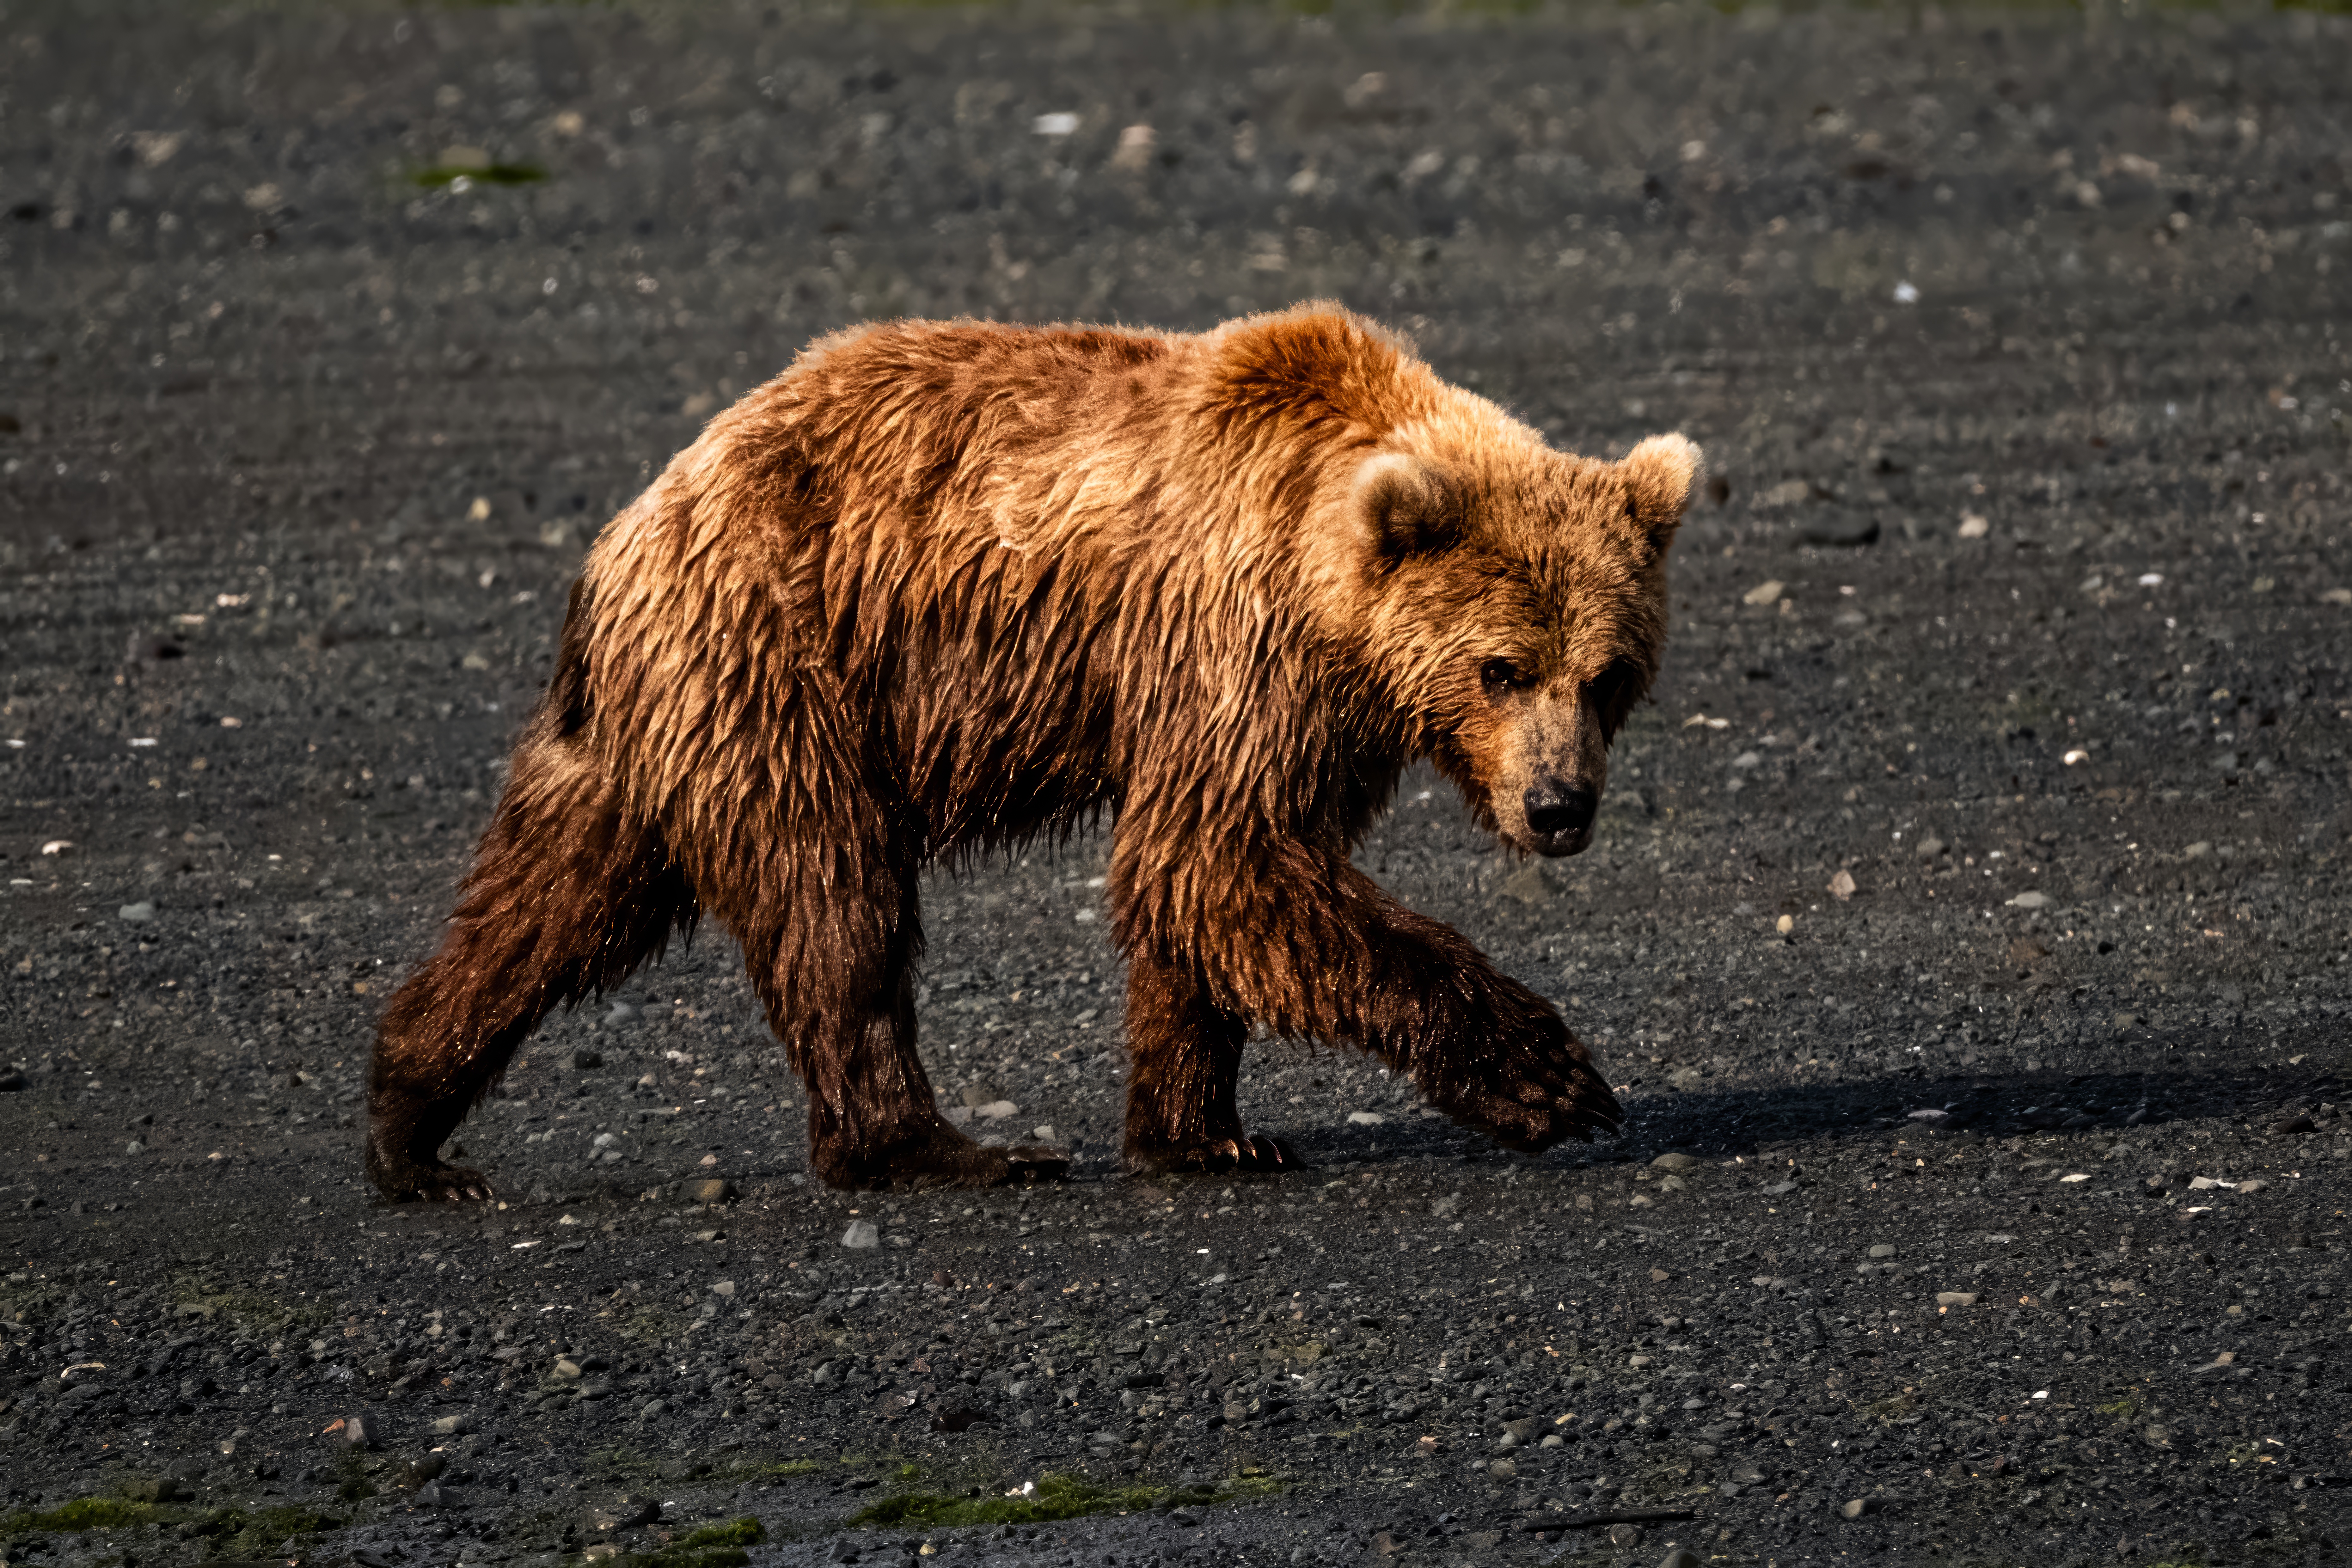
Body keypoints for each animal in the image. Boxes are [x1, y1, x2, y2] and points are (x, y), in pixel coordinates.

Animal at [365, 303, 1699, 1200]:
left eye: (1608, 674)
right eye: (1500, 667)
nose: (1558, 805)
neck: (1331, 588)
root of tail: (638, 516)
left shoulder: (1314, 712)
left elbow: (1205, 887)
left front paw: (1206, 1131)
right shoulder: (1236, 642)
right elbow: (1214, 856)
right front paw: (1553, 1079)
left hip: (660, 712)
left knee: (551, 894)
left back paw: (408, 1123)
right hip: (783, 654)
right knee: (834, 897)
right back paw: (939, 1145)